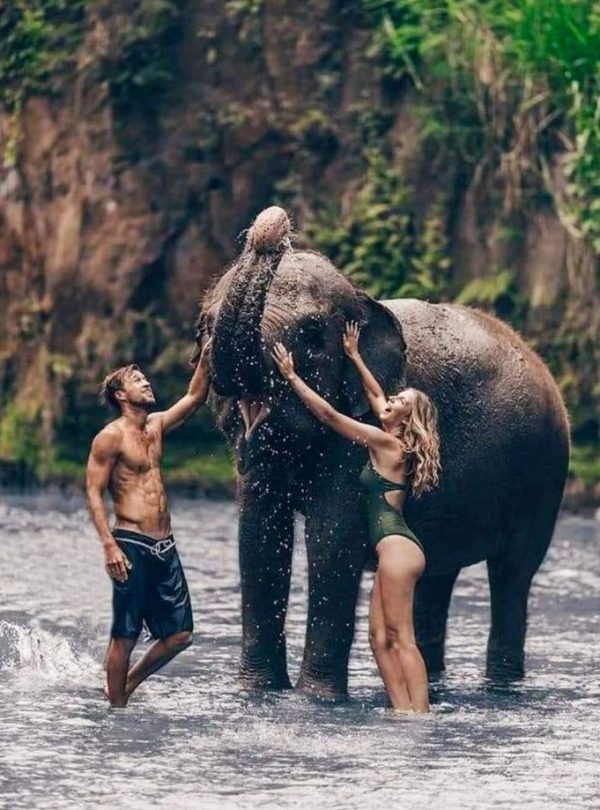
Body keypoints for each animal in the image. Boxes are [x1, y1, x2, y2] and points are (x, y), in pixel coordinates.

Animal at [193, 206, 569, 700]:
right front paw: (257, 693)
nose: (272, 225)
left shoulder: (361, 433)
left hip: (543, 474)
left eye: (312, 336)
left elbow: (332, 537)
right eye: (204, 328)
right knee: (435, 576)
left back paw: (501, 688)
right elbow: (258, 535)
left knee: (512, 573)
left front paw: (316, 700)